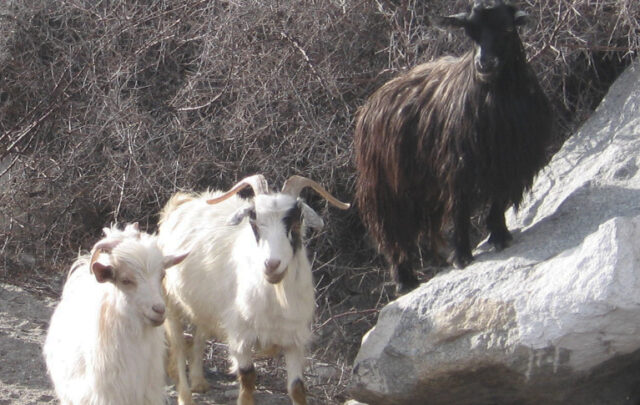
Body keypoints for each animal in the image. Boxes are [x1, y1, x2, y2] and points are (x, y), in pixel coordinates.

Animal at [157, 174, 349, 405]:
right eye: (254, 222)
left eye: (296, 221)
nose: (272, 264)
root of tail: (182, 203)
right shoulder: (240, 334)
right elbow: (248, 378)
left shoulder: (294, 338)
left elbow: (297, 388)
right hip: (170, 302)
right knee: (177, 349)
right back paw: (186, 396)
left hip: (205, 306)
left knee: (199, 334)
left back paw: (199, 382)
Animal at [354, 0, 554, 294]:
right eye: (470, 32)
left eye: (508, 28)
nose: (484, 63)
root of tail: (371, 103)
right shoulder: (457, 166)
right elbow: (459, 209)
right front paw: (462, 257)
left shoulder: (510, 164)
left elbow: (497, 201)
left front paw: (500, 237)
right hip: (384, 187)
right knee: (391, 233)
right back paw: (405, 280)